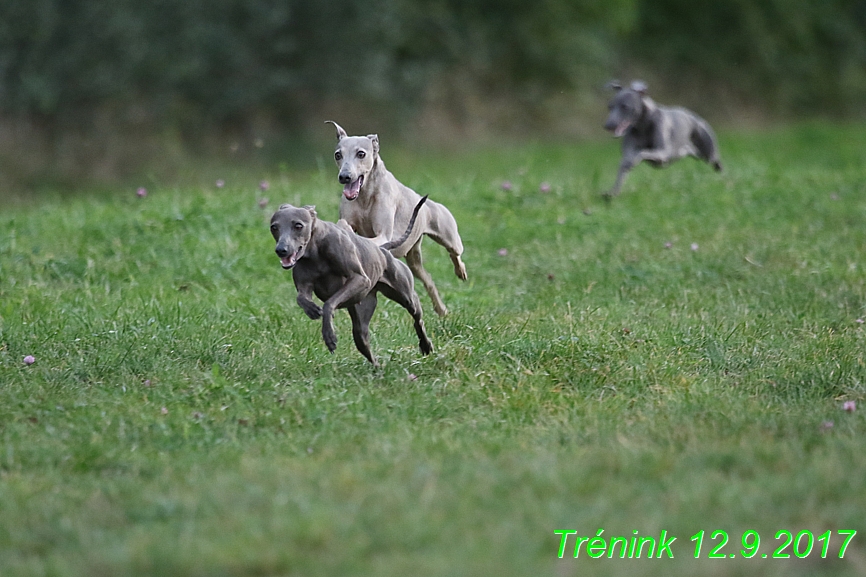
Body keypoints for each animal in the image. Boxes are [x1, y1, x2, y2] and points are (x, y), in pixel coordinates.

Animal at [270, 194, 432, 364]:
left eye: (298, 225)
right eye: (274, 227)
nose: (281, 250)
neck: (314, 250)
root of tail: (382, 248)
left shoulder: (359, 279)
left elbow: (329, 304)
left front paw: (329, 335)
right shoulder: (304, 285)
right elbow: (301, 297)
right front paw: (311, 309)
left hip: (405, 296)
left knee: (417, 316)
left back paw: (425, 344)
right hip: (362, 314)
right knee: (363, 340)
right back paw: (378, 367)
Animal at [324, 121, 466, 318]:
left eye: (361, 154)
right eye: (338, 154)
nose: (344, 176)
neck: (365, 196)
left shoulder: (384, 235)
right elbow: (344, 225)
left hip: (448, 236)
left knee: (455, 252)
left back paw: (460, 271)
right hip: (414, 260)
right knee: (428, 279)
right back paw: (441, 309)